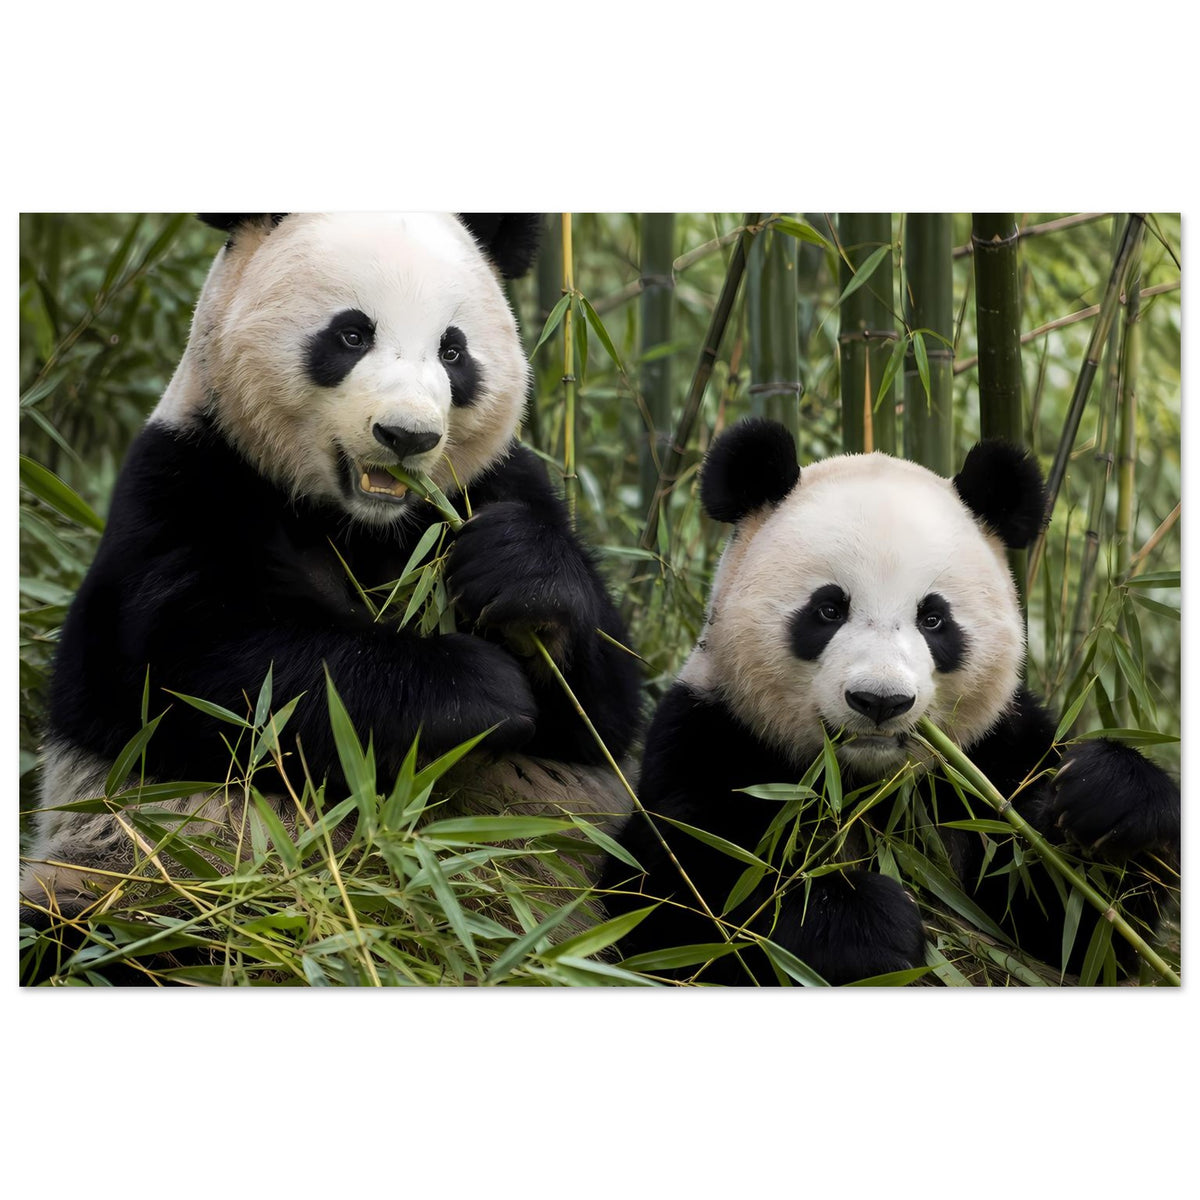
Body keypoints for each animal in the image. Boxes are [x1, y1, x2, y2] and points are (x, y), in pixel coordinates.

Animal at [21, 213, 642, 972]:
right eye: (351, 335)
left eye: (454, 351)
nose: (406, 436)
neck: (358, 523)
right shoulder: (183, 486)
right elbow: (206, 675)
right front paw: (476, 689)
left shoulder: (493, 484)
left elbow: (603, 711)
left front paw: (519, 578)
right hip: (132, 879)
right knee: (91, 929)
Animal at [601, 417, 1180, 986]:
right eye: (829, 609)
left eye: (934, 618)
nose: (880, 701)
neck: (866, 787)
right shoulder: (712, 735)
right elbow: (683, 899)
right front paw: (867, 925)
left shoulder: (992, 758)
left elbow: (1076, 924)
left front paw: (1107, 799)